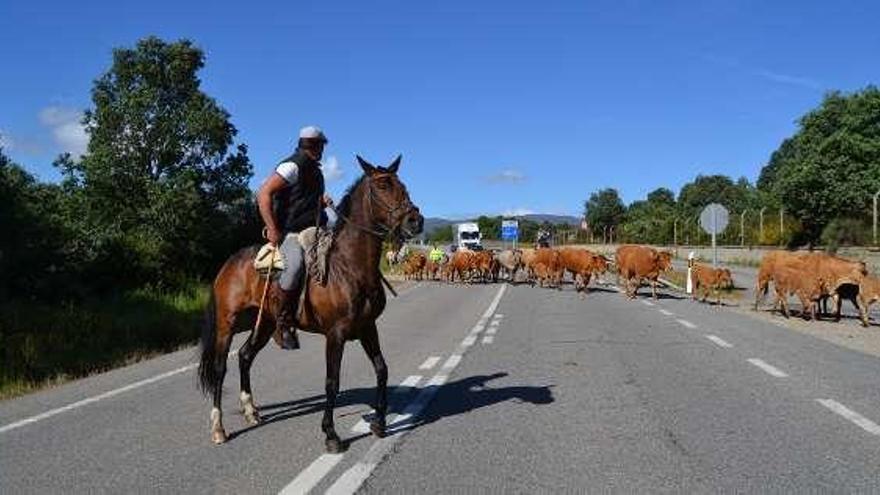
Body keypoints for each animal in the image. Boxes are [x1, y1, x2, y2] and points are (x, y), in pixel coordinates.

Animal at [199, 155, 422, 454]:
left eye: (403, 185)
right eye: (383, 186)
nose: (415, 220)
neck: (349, 266)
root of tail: (228, 264)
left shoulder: (367, 328)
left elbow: (381, 369)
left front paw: (379, 422)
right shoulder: (335, 334)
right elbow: (332, 382)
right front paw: (331, 434)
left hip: (265, 323)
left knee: (245, 356)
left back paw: (251, 411)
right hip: (226, 324)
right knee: (220, 369)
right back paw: (218, 428)